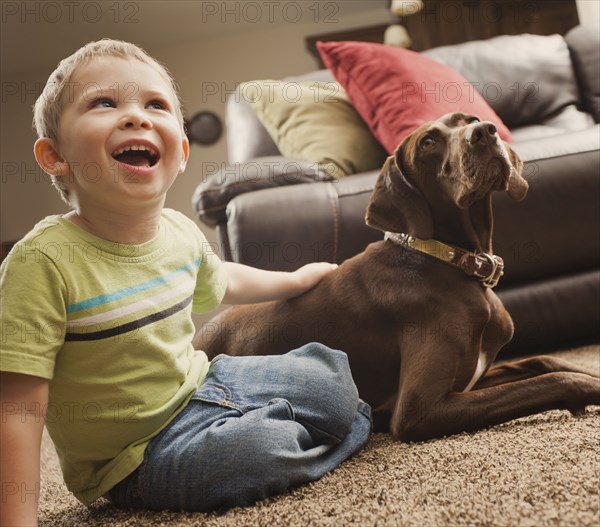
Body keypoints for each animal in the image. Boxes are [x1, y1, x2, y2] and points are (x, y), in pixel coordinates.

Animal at [195, 113, 596, 444]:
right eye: (428, 142)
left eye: (467, 120)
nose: (484, 132)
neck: (449, 261)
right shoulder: (419, 410)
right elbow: (555, 378)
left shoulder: (474, 377)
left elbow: (546, 362)